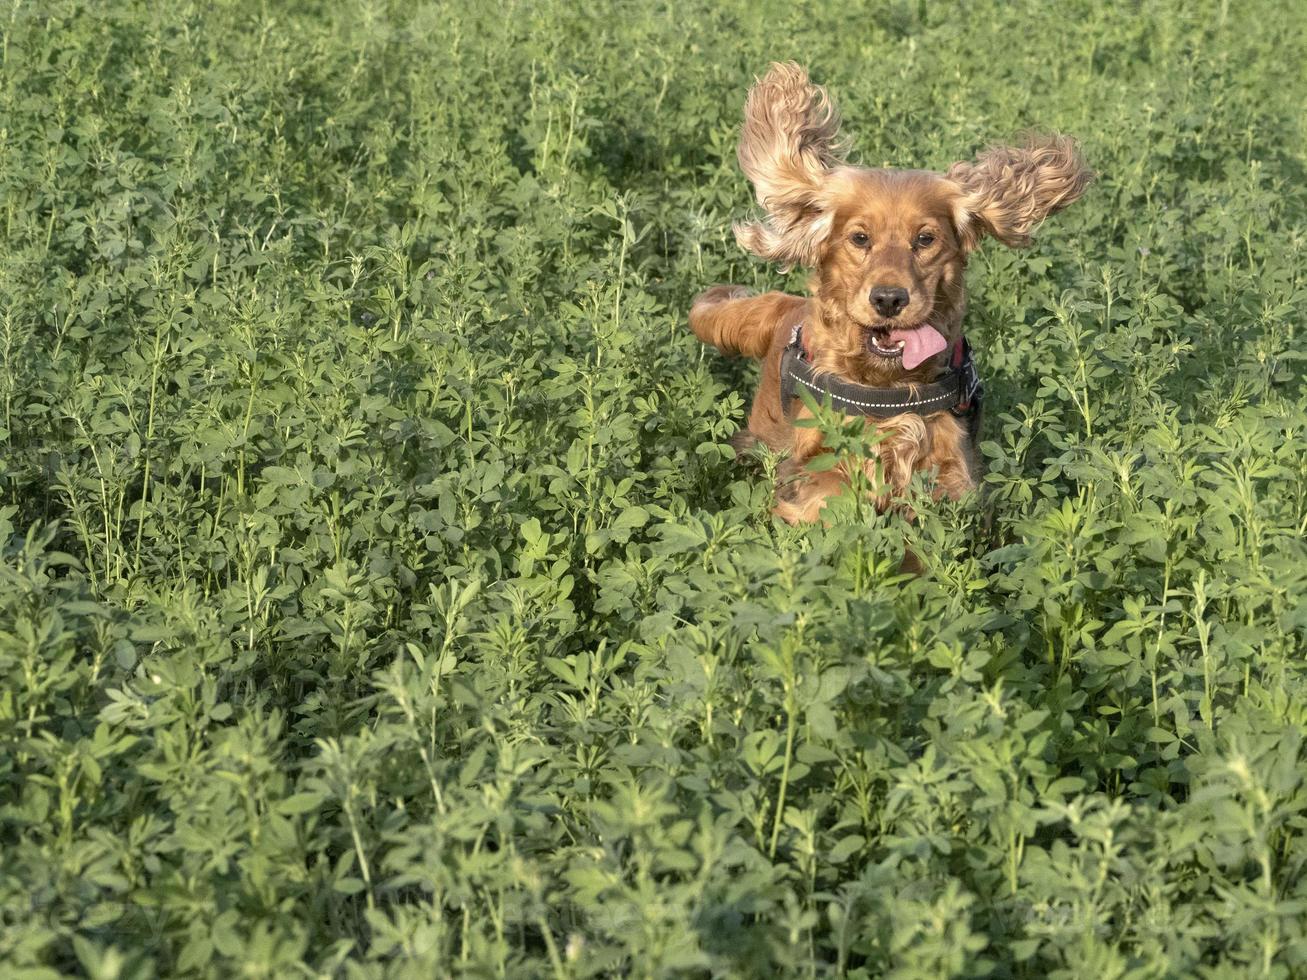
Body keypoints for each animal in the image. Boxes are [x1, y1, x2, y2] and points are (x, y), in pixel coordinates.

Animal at [695, 64, 1092, 525]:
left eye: (925, 239)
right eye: (859, 238)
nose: (888, 299)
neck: (886, 384)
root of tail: (785, 308)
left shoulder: (952, 464)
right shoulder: (819, 461)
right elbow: (832, 493)